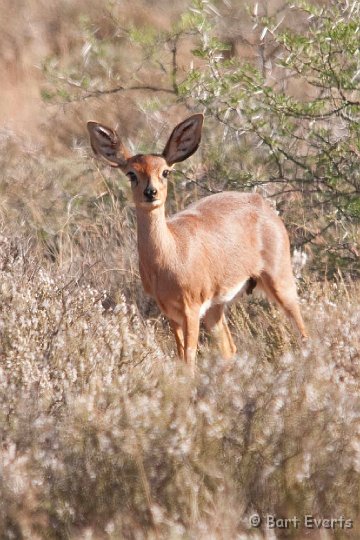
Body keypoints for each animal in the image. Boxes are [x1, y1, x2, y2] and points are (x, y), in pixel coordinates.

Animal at [86, 113, 306, 376]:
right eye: (131, 173)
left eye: (165, 172)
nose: (151, 192)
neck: (169, 255)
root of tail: (262, 204)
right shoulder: (170, 311)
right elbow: (181, 355)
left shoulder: (190, 309)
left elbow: (190, 356)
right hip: (216, 307)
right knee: (229, 348)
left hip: (279, 281)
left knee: (303, 331)